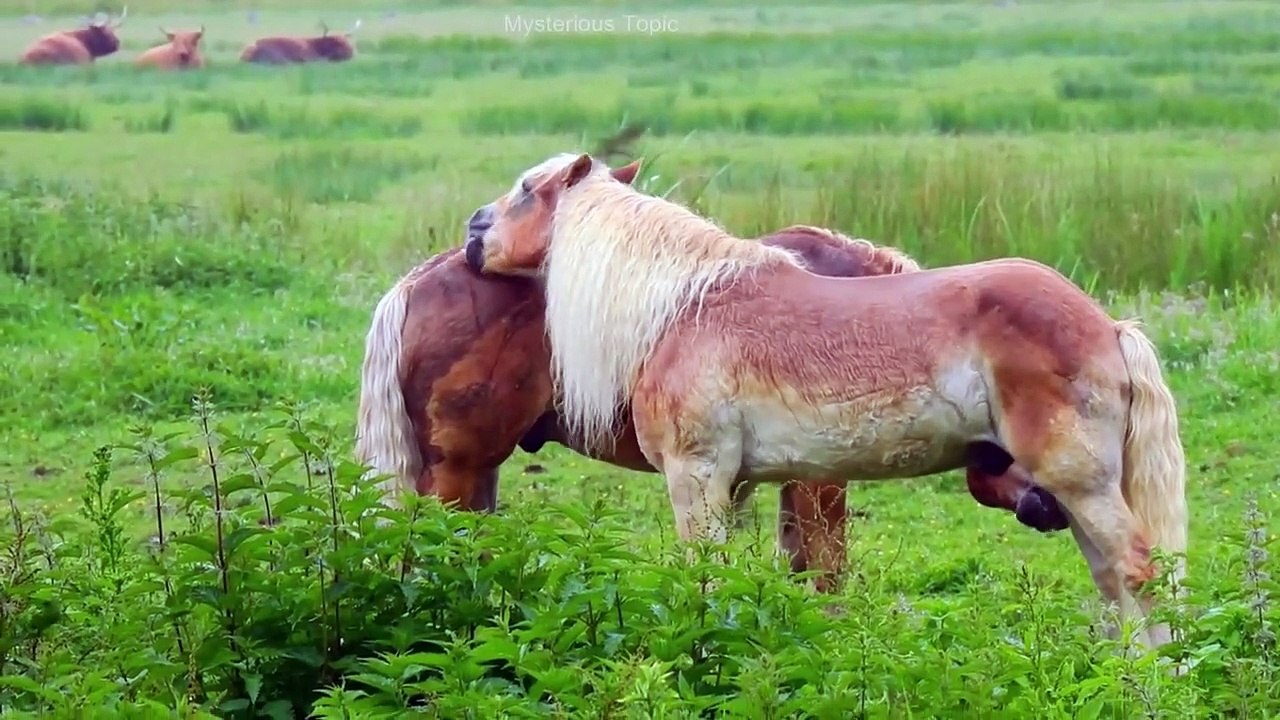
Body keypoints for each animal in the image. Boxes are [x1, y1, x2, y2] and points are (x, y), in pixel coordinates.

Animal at [357, 155, 1069, 594]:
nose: (1053, 505)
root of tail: (422, 279)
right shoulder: (819, 479)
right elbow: (826, 572)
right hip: (457, 471)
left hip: (478, 473)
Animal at [462, 152, 1188, 649]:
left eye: (526, 190)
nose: (473, 231)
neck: (683, 309)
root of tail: (1107, 326)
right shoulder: (740, 485)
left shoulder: (697, 476)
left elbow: (708, 576)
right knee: (1112, 578)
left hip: (1078, 482)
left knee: (1137, 571)